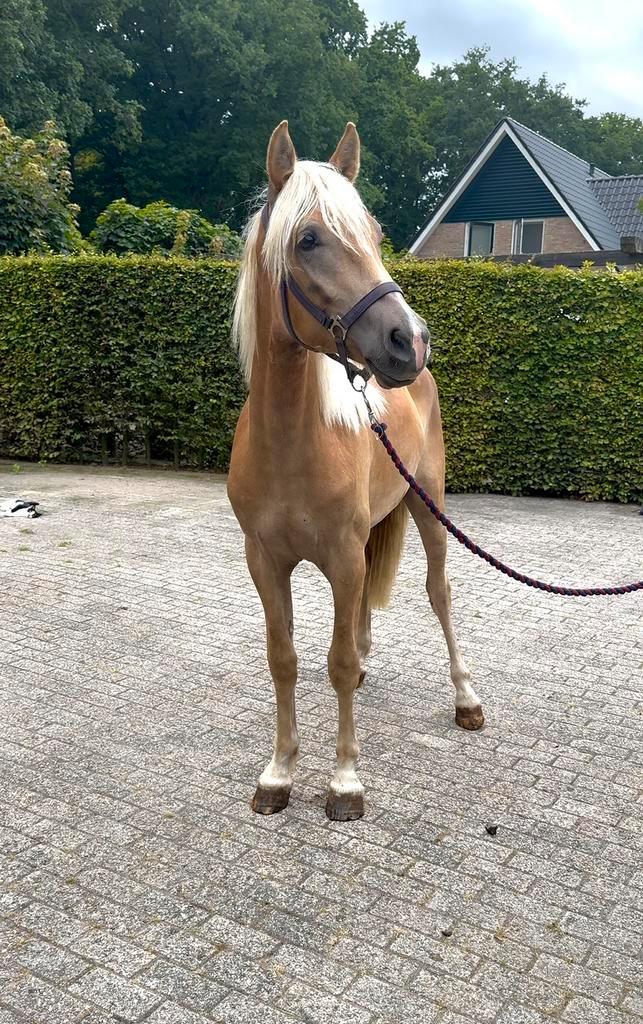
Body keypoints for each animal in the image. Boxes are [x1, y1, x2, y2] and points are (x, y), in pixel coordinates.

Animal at [227, 120, 484, 822]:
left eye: (372, 231)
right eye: (308, 239)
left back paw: (467, 699)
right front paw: (279, 772)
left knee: (438, 592)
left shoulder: (340, 556)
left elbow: (337, 662)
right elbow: (285, 659)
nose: (409, 341)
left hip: (429, 506)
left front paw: (345, 782)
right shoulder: (265, 562)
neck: (291, 445)